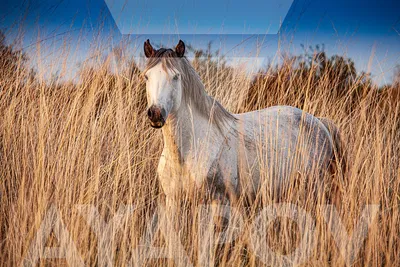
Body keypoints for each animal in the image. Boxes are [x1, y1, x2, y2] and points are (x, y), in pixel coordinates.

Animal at [143, 38, 344, 208]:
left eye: (176, 76)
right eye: (146, 76)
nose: (156, 113)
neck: (186, 152)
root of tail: (320, 123)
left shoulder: (218, 202)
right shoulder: (172, 202)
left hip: (315, 191)